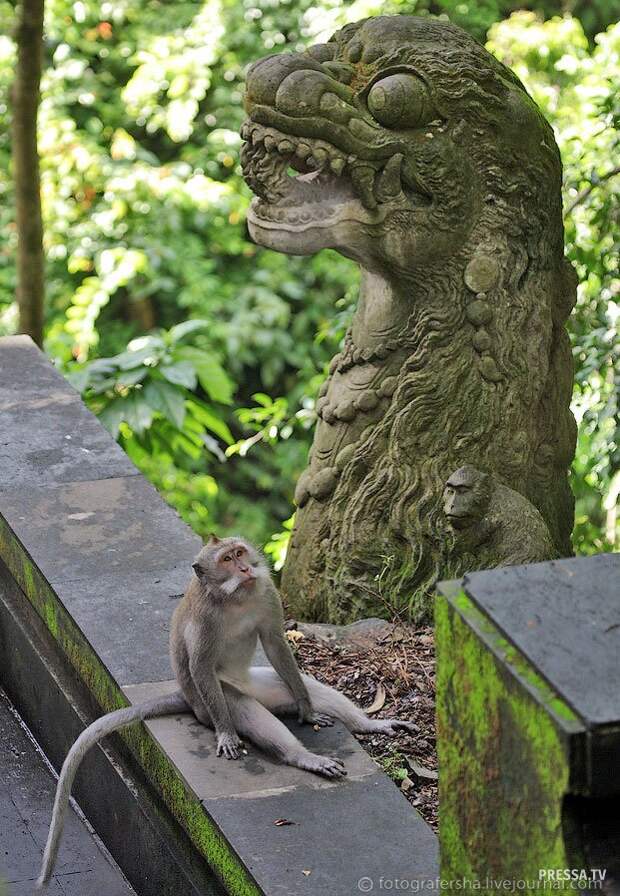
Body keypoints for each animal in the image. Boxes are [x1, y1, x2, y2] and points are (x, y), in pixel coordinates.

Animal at [38, 536, 416, 884]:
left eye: (239, 552)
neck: (236, 597)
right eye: (227, 560)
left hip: (261, 684)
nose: (246, 568)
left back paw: (367, 725)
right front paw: (227, 735)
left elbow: (276, 643)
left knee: (305, 685)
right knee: (244, 709)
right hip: (213, 702)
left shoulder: (266, 594)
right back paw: (302, 756)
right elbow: (202, 665)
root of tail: (186, 698)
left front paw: (308, 710)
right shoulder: (206, 619)